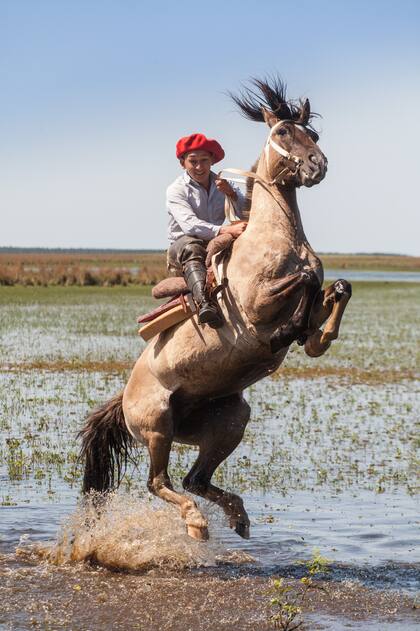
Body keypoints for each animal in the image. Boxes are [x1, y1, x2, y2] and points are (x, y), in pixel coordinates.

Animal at [79, 76, 352, 544]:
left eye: (313, 135)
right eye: (283, 132)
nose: (317, 166)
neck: (276, 237)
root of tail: (123, 398)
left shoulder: (314, 304)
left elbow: (334, 290)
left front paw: (316, 334)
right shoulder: (257, 303)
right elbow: (303, 283)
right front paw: (285, 333)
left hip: (229, 420)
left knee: (196, 479)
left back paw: (237, 517)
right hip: (158, 426)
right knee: (160, 482)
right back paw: (197, 523)